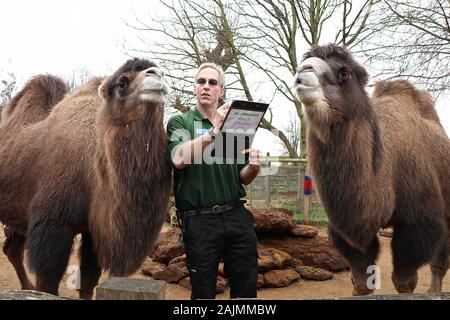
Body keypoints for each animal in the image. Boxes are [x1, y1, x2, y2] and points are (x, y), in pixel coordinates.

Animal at [0, 58, 172, 298]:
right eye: (122, 82)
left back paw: (27, 287)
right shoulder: (52, 224)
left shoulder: (92, 231)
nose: (156, 74)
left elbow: (90, 280)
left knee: (12, 248)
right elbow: (49, 282)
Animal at [292, 44, 450, 296]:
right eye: (304, 61)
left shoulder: (417, 223)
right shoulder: (350, 231)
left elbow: (404, 282)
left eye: (344, 72)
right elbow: (361, 281)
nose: (302, 71)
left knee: (439, 262)